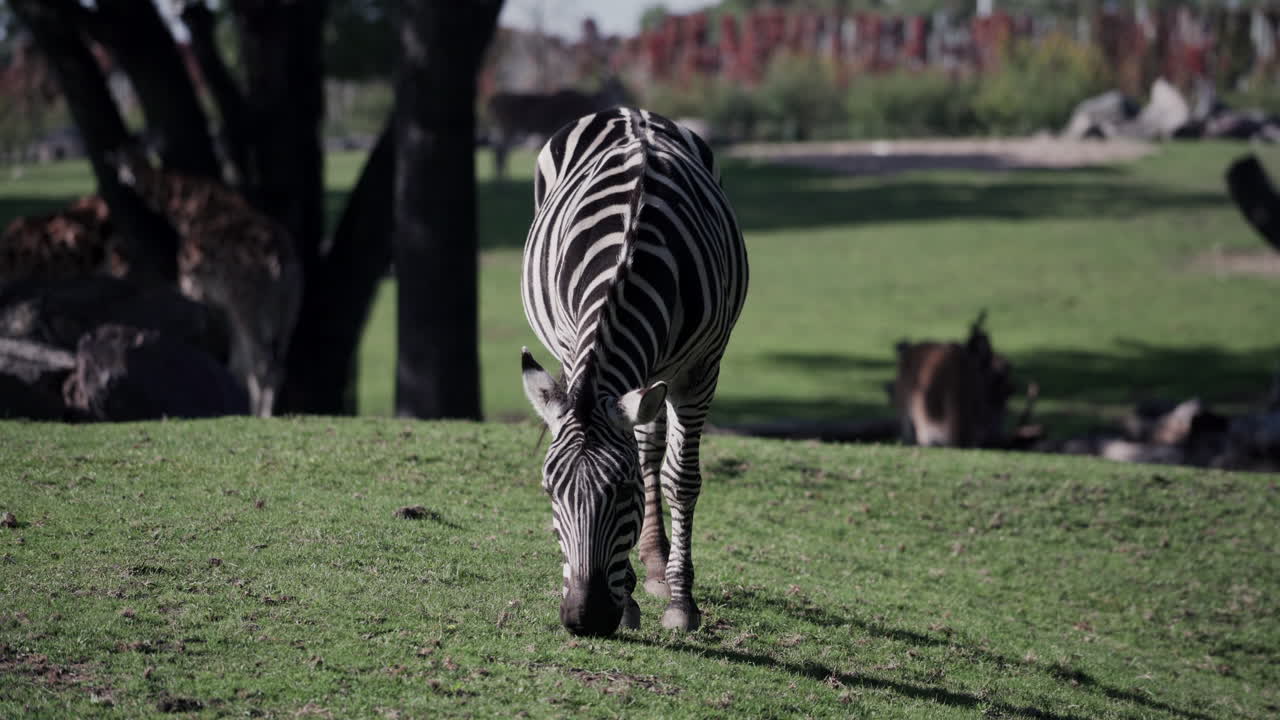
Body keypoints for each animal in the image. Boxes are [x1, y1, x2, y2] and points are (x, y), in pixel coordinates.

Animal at [519, 108, 749, 636]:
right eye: (550, 491)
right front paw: (627, 601)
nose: (584, 618)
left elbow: (678, 478)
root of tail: (630, 111)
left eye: (622, 492)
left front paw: (681, 603)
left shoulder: (700, 370)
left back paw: (659, 568)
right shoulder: (572, 351)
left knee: (653, 453)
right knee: (647, 446)